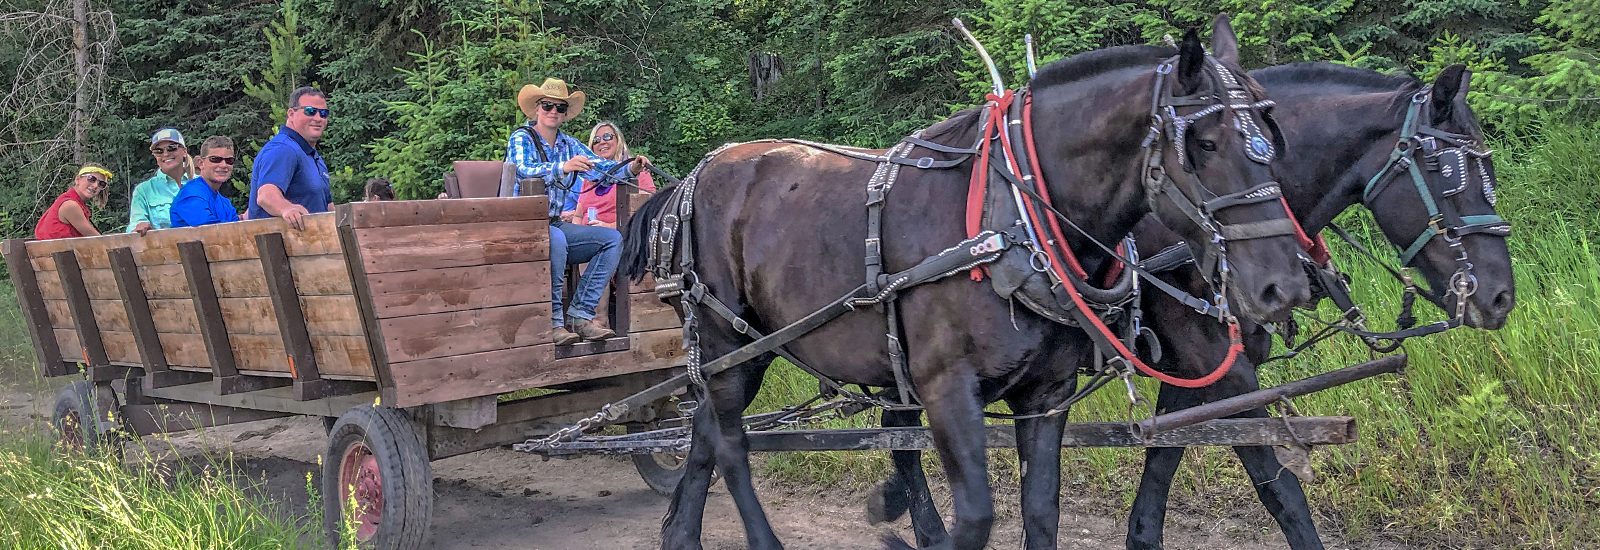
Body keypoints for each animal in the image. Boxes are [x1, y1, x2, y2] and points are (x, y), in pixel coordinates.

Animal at [624, 14, 1312, 550]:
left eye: (1272, 135)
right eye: (1204, 141)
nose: (1284, 287)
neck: (1012, 217)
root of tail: (690, 180)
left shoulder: (1046, 393)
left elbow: (1041, 513)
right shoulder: (946, 388)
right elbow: (976, 518)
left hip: (739, 349)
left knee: (706, 430)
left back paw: (679, 532)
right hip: (727, 339)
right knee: (732, 446)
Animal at [870, 62, 1516, 546]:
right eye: (1449, 171)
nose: (1500, 295)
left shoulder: (1193, 371)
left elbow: (1163, 465)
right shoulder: (1211, 357)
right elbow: (1279, 486)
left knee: (896, 426)